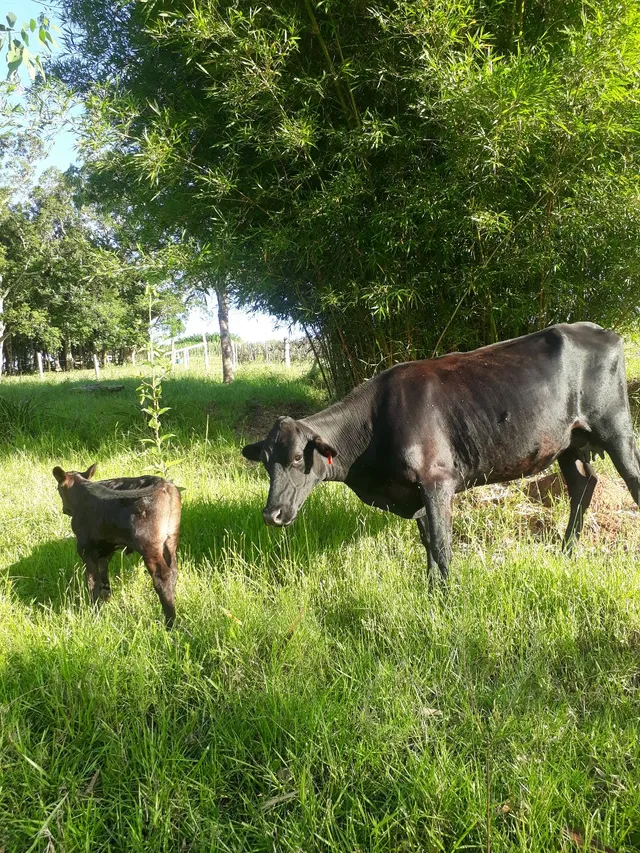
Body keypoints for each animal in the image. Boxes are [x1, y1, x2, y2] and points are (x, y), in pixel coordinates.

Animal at [53, 464, 181, 626]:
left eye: (58, 489)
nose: (64, 509)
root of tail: (164, 484)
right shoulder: (107, 548)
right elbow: (103, 573)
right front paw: (106, 598)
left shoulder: (85, 549)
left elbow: (92, 581)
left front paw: (95, 610)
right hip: (170, 540)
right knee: (174, 571)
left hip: (149, 545)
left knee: (162, 577)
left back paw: (170, 623)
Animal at [242, 323, 640, 581]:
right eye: (265, 463)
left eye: (297, 457)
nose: (271, 514)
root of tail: (602, 330)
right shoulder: (415, 491)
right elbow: (428, 545)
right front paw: (431, 589)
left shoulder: (437, 481)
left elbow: (441, 544)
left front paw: (446, 598)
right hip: (568, 443)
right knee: (582, 487)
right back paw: (566, 551)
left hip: (616, 427)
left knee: (632, 479)